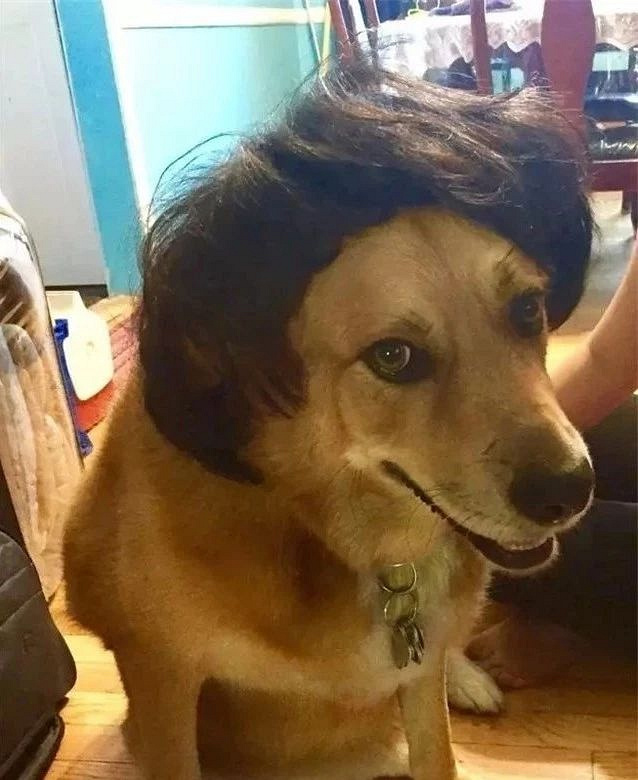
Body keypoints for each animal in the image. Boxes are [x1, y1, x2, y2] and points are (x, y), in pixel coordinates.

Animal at [64, 60, 594, 780]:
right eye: (394, 357)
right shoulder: (163, 681)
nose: (572, 488)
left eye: (527, 309)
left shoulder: (416, 678)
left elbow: (437, 747)